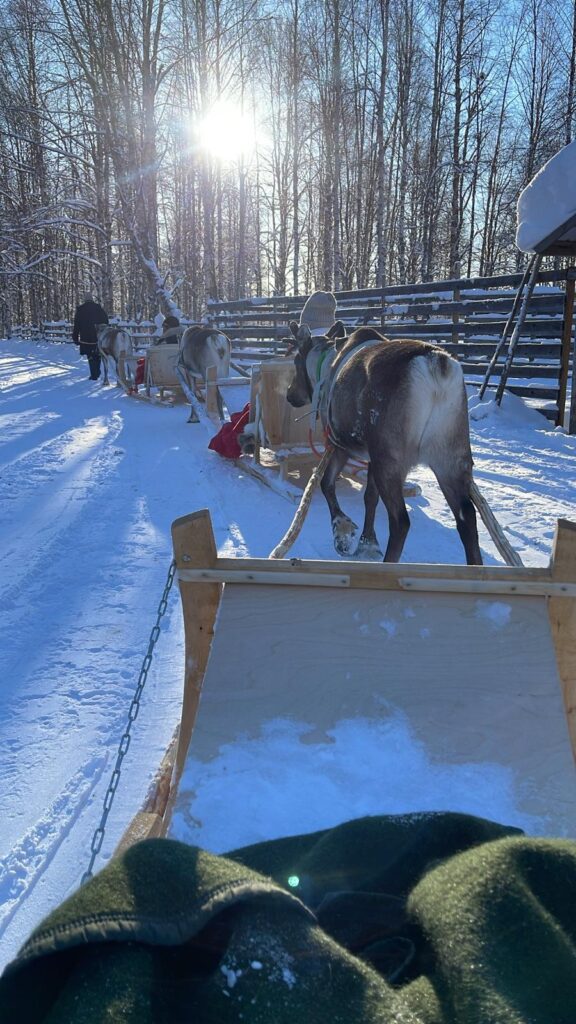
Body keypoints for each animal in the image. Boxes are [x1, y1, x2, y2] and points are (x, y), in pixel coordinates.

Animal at [286, 322, 482, 565]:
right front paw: (368, 543)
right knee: (468, 518)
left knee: (401, 521)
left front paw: (343, 533)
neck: (325, 365)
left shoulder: (339, 442)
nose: (289, 395)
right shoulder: (370, 454)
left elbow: (326, 484)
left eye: (295, 362)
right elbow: (370, 497)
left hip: (390, 459)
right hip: (451, 457)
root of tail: (436, 365)